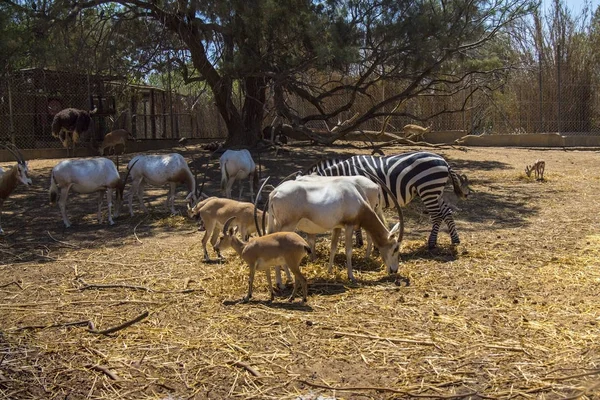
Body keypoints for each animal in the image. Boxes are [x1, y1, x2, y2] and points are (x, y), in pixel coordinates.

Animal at [316, 152, 472, 248]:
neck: (342, 173)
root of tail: (444, 161)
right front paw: (360, 242)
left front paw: (361, 243)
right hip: (435, 191)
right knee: (447, 212)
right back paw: (455, 240)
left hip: (428, 189)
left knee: (437, 215)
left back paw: (432, 243)